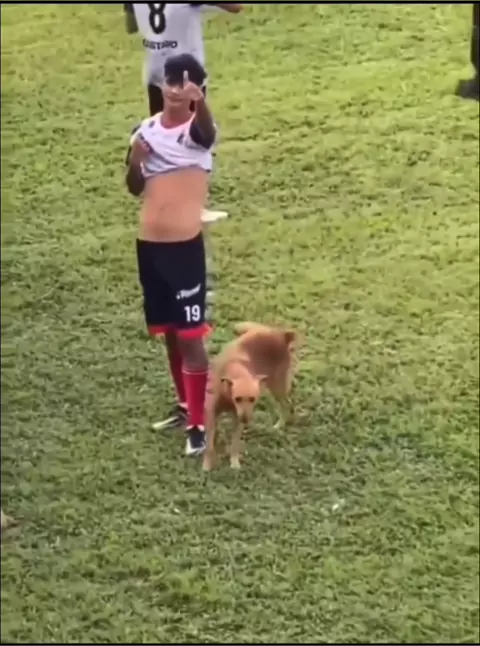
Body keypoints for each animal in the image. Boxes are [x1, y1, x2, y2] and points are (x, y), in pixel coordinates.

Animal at [202, 322, 297, 471]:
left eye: (253, 399)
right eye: (238, 399)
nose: (246, 419)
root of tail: (282, 335)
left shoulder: (238, 419)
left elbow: (234, 444)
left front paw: (234, 462)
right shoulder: (212, 415)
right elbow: (209, 446)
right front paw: (206, 465)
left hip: (277, 386)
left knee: (287, 405)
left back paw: (279, 425)